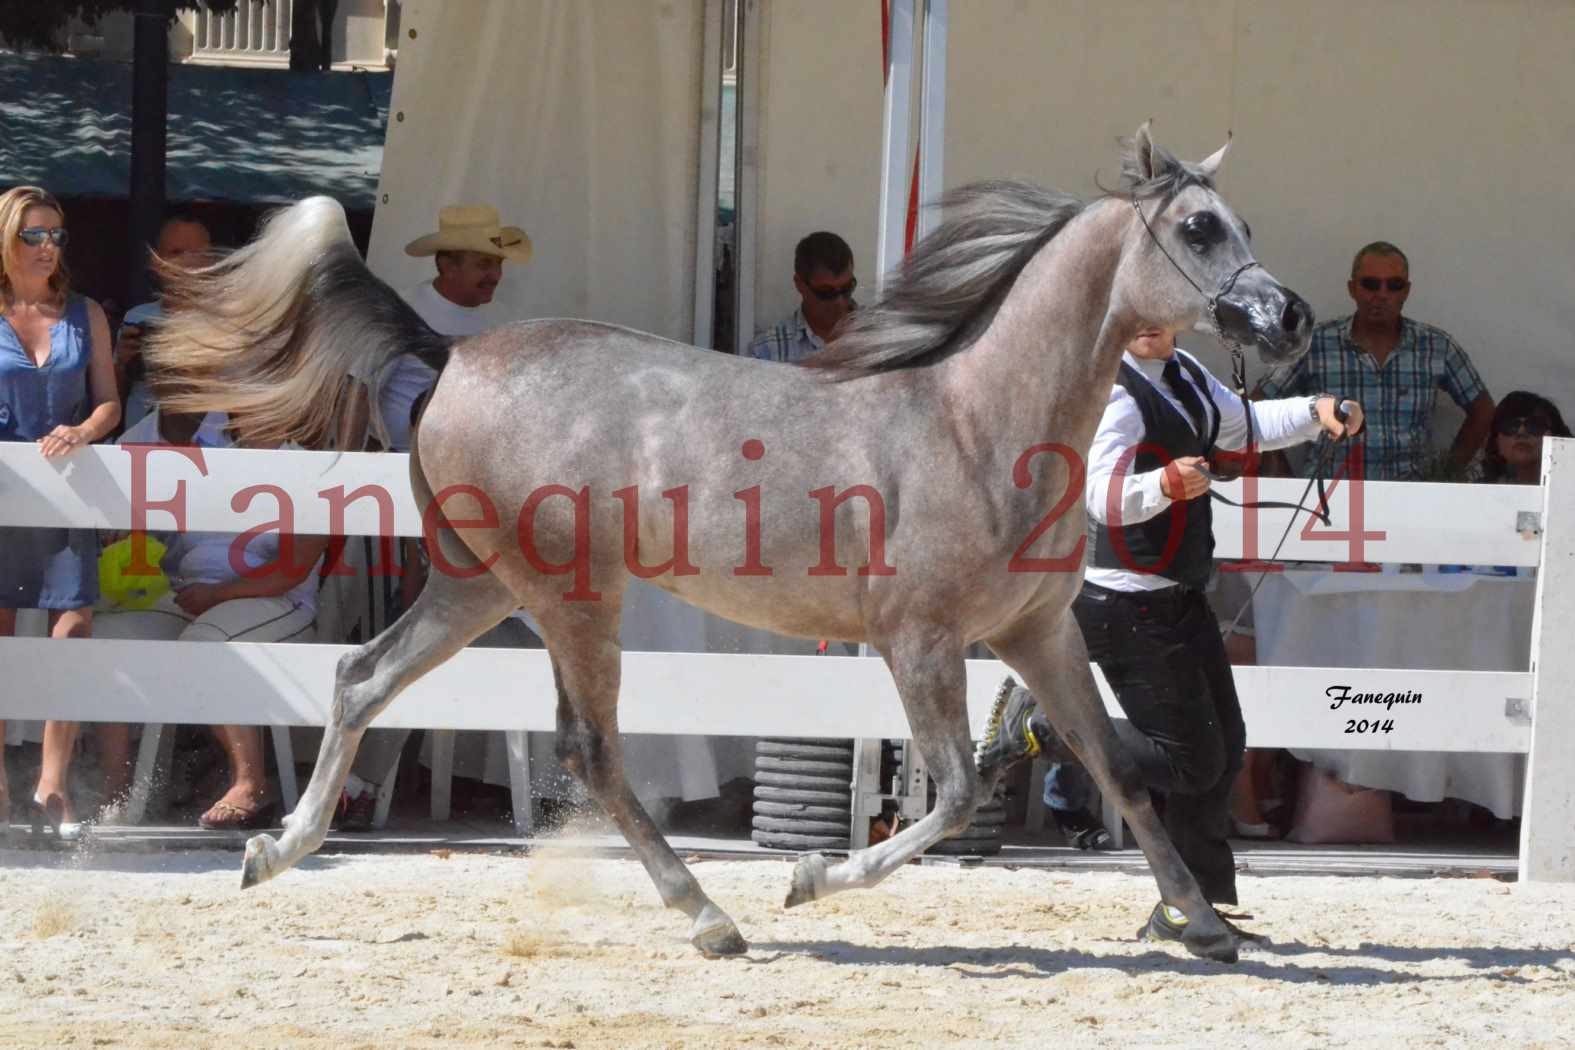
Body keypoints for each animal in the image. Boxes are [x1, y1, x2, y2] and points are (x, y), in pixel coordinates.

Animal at [148, 127, 1310, 963]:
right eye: (1198, 229)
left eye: (1244, 221)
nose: (1288, 316)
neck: (975, 420)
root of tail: (450, 355)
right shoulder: (919, 642)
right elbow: (953, 794)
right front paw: (807, 879)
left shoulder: (1039, 634)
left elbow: (1119, 769)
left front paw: (1206, 925)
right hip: (571, 598)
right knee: (587, 747)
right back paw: (711, 918)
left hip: (478, 587)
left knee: (360, 676)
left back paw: (273, 851)